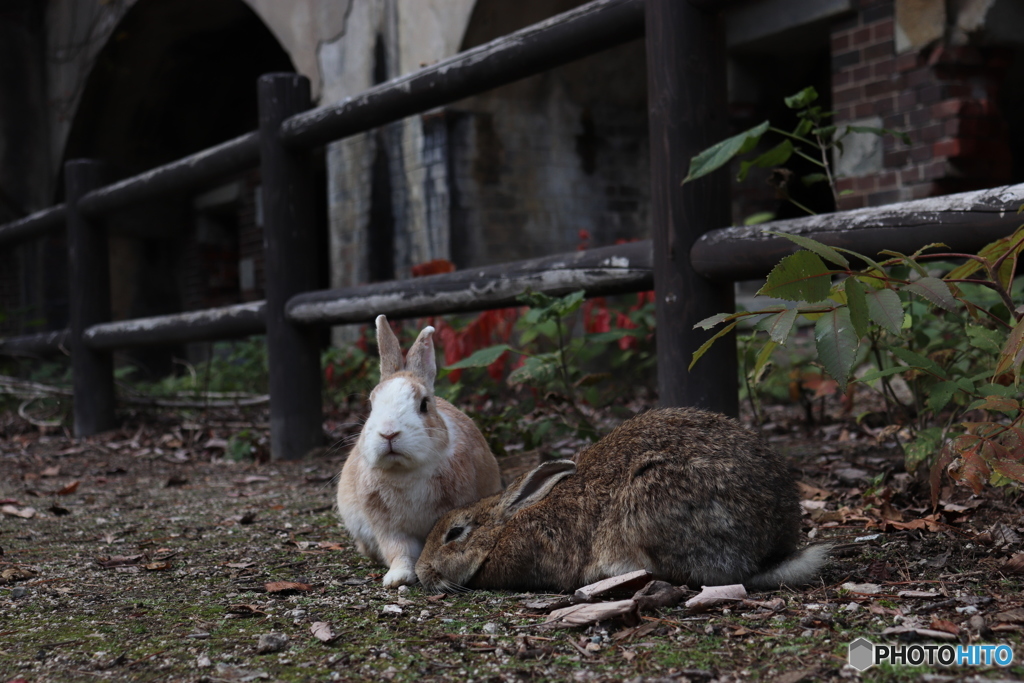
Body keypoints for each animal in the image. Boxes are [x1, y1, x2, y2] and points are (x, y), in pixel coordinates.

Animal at [337, 315, 501, 589]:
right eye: (371, 405)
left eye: (424, 405)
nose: (389, 433)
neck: (406, 471)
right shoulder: (389, 528)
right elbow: (399, 551)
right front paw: (397, 578)